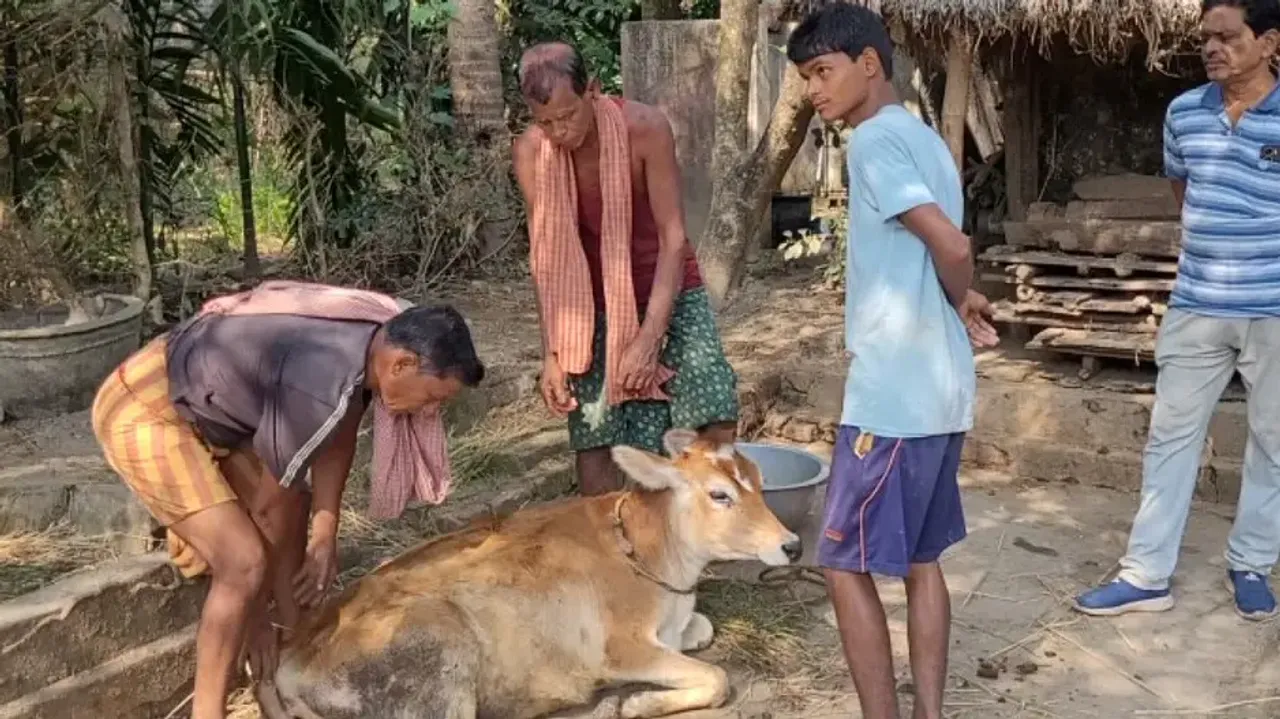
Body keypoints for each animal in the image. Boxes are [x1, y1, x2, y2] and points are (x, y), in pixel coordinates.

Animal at [254, 428, 803, 719]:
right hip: (438, 653)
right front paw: (633, 703)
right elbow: (718, 676)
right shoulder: (620, 647)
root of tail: (287, 660)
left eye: (758, 481)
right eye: (719, 494)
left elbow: (705, 634)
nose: (792, 545)